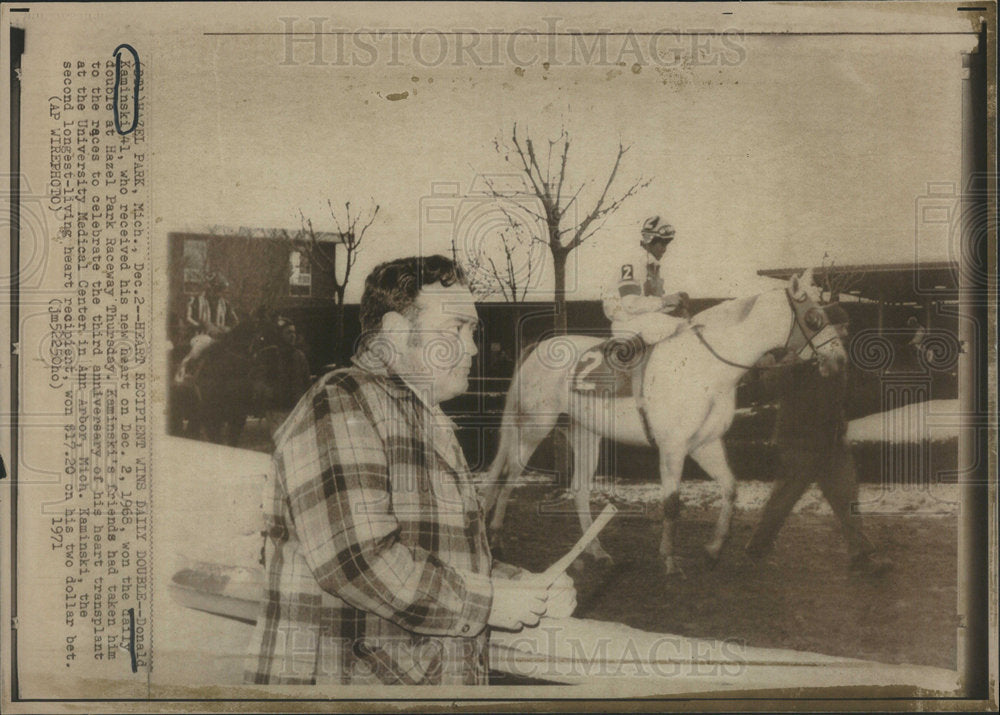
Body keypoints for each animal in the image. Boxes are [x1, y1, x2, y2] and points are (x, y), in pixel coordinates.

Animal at [482, 268, 844, 576]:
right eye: (813, 318)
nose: (839, 360)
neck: (704, 367)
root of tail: (536, 347)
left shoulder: (705, 445)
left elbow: (730, 489)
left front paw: (713, 550)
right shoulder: (672, 448)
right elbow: (672, 504)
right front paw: (669, 560)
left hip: (585, 435)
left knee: (579, 490)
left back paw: (596, 552)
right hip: (533, 429)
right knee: (509, 477)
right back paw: (496, 538)